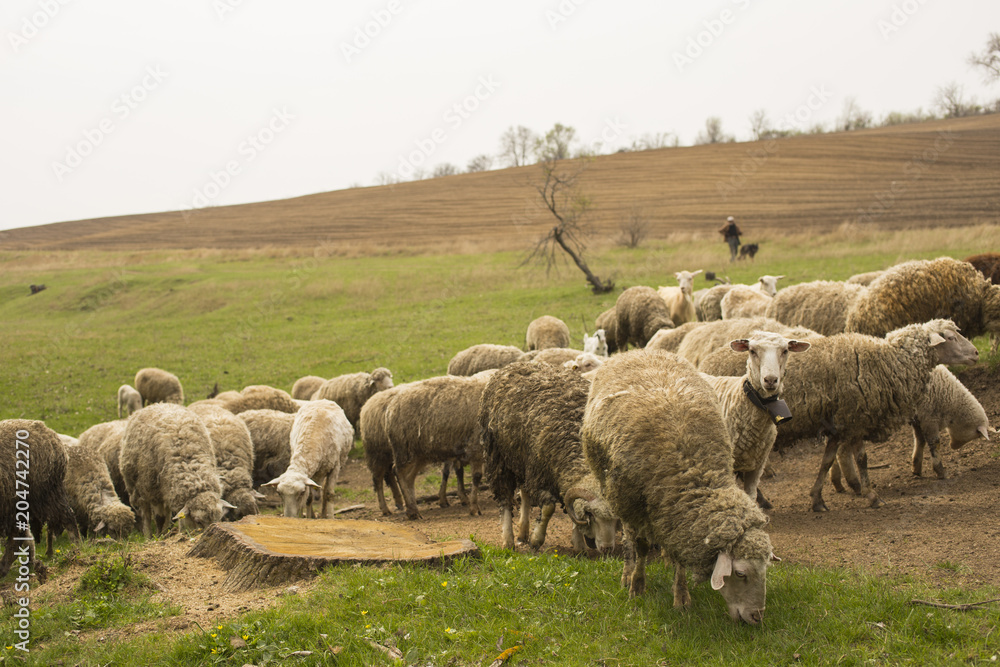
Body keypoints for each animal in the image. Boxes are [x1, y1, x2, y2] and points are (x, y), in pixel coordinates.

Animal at [120, 403, 233, 536]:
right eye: (198, 521)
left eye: (219, 518)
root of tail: (158, 404)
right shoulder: (154, 492)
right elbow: (159, 518)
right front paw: (159, 535)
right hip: (138, 487)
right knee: (145, 512)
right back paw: (148, 535)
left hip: (165, 490)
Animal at [380, 372, 494, 519]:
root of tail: (390, 407)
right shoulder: (475, 446)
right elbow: (477, 477)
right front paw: (474, 508)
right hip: (404, 448)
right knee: (399, 471)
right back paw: (412, 511)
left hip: (420, 453)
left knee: (409, 477)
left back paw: (412, 508)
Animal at [479, 361, 618, 552]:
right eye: (591, 514)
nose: (608, 549)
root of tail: (518, 364)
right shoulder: (539, 474)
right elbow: (549, 508)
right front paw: (536, 540)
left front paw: (579, 545)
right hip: (498, 457)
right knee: (504, 497)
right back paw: (508, 540)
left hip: (522, 459)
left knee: (525, 494)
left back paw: (522, 532)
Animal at [581, 350, 774, 623]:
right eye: (740, 573)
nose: (757, 617)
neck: (691, 467)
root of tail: (637, 351)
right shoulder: (635, 505)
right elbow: (641, 546)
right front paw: (637, 586)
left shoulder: (676, 512)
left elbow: (679, 556)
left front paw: (681, 596)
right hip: (615, 490)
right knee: (629, 538)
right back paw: (628, 572)